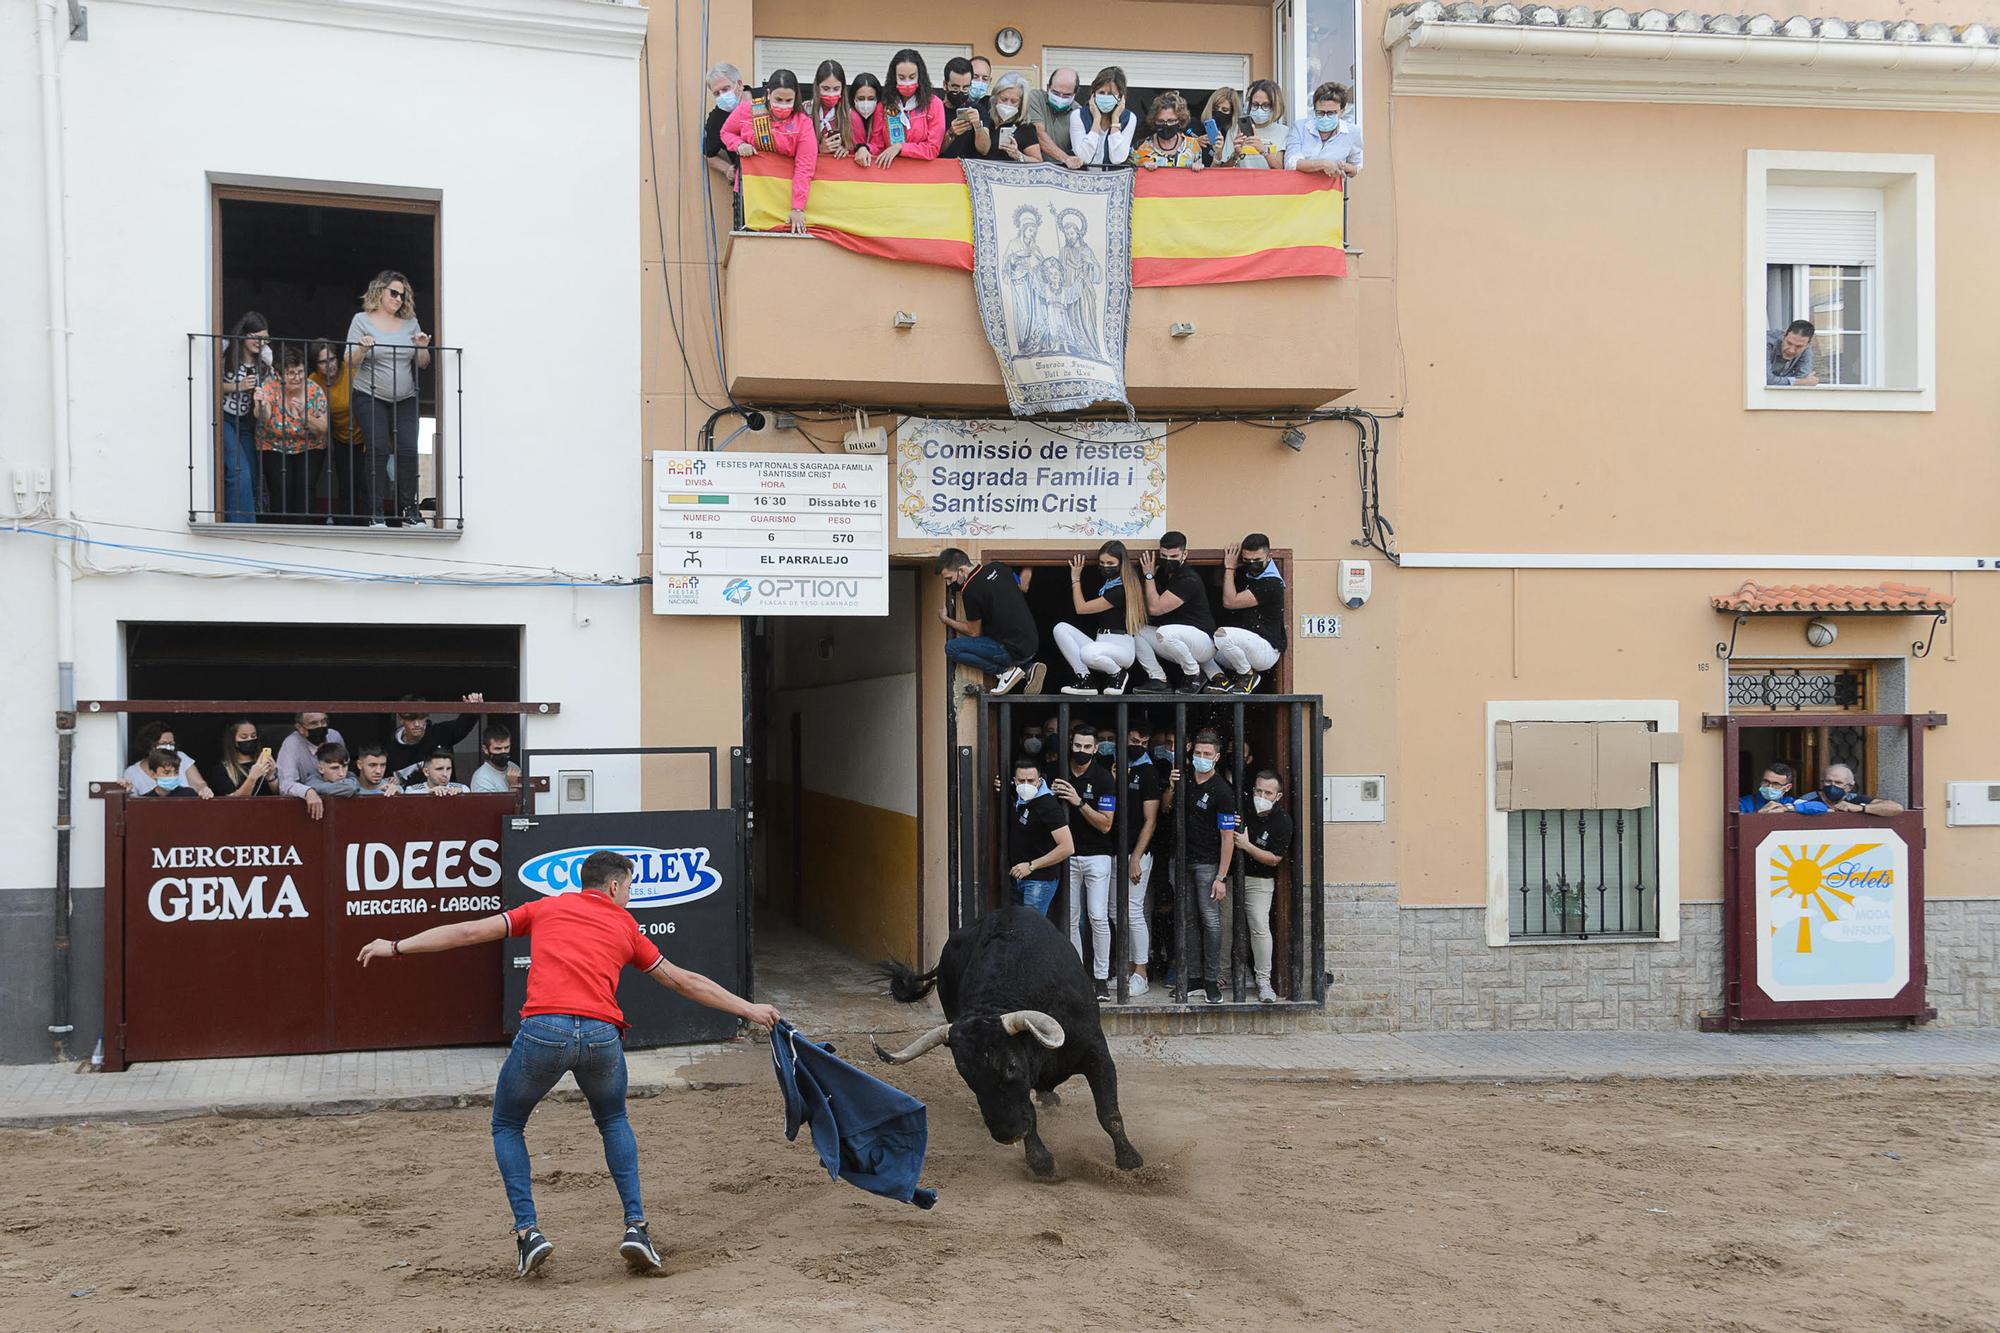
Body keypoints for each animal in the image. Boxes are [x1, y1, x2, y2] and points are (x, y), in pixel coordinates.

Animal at [876, 904, 1144, 1176]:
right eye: (966, 1075)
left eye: (1011, 1066)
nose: (1006, 1134)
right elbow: (1029, 1115)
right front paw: (1041, 1163)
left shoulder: (1095, 1052)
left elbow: (1109, 1113)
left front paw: (1130, 1160)